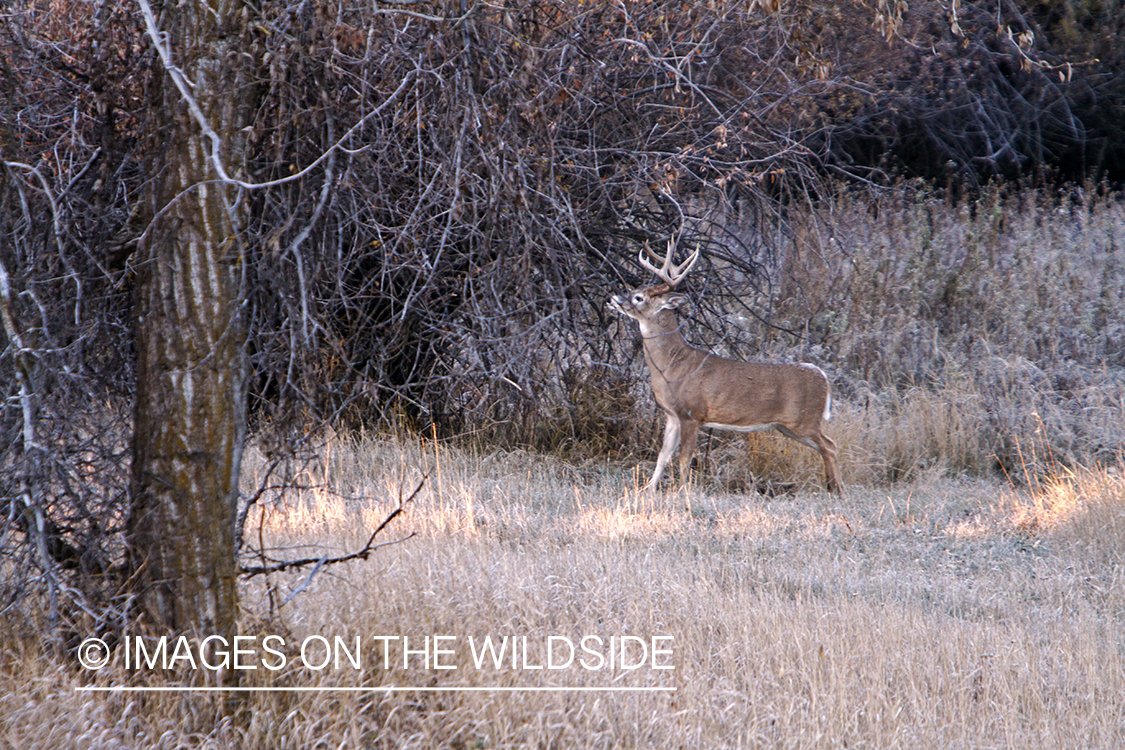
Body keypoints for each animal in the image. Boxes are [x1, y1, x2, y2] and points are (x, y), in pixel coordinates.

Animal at [612, 239, 841, 492]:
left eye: (639, 298)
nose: (614, 299)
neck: (672, 366)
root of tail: (822, 376)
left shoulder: (692, 414)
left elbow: (684, 458)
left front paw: (682, 492)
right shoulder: (672, 415)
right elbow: (663, 455)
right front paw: (648, 490)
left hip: (804, 420)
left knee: (831, 445)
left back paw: (837, 490)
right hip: (788, 426)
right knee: (825, 447)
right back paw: (832, 488)